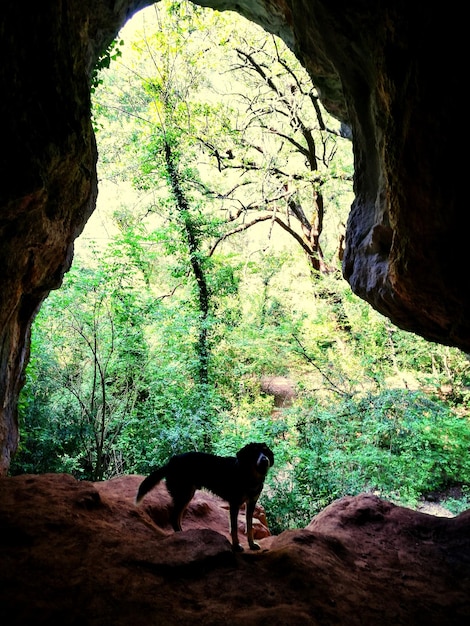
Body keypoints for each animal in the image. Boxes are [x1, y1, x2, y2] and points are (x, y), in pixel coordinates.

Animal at [134, 442, 274, 548]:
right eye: (254, 453)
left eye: (265, 452)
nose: (265, 460)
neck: (247, 476)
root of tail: (171, 462)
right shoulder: (235, 504)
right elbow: (234, 528)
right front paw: (236, 546)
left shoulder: (251, 503)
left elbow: (249, 527)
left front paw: (252, 545)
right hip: (184, 493)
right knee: (174, 517)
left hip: (187, 495)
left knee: (176, 517)